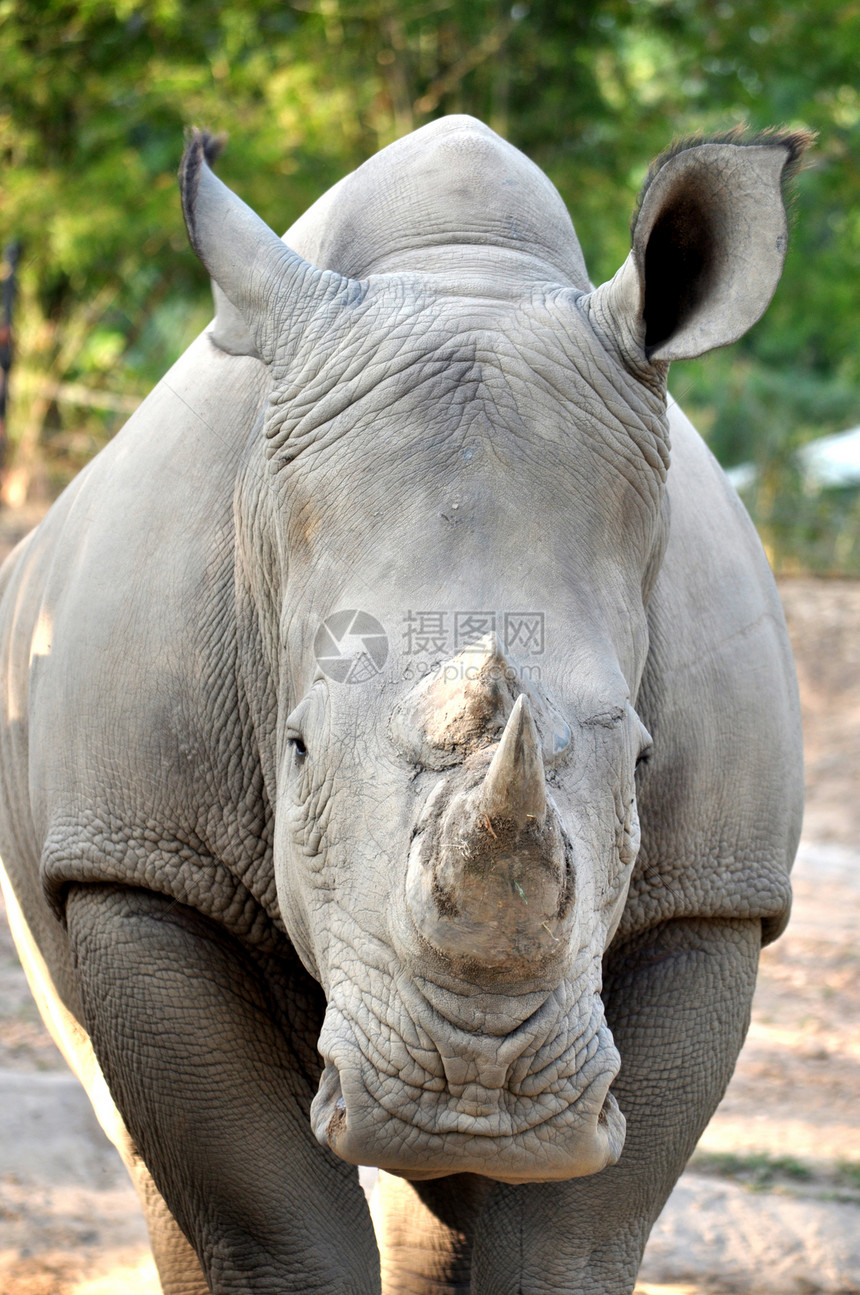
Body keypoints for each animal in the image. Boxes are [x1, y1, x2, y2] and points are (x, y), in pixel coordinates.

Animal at [0, 116, 808, 1289]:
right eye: (292, 748)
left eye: (647, 760)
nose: (473, 1091)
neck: (459, 273)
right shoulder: (140, 852)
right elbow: (269, 1219)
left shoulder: (713, 891)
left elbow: (572, 1234)